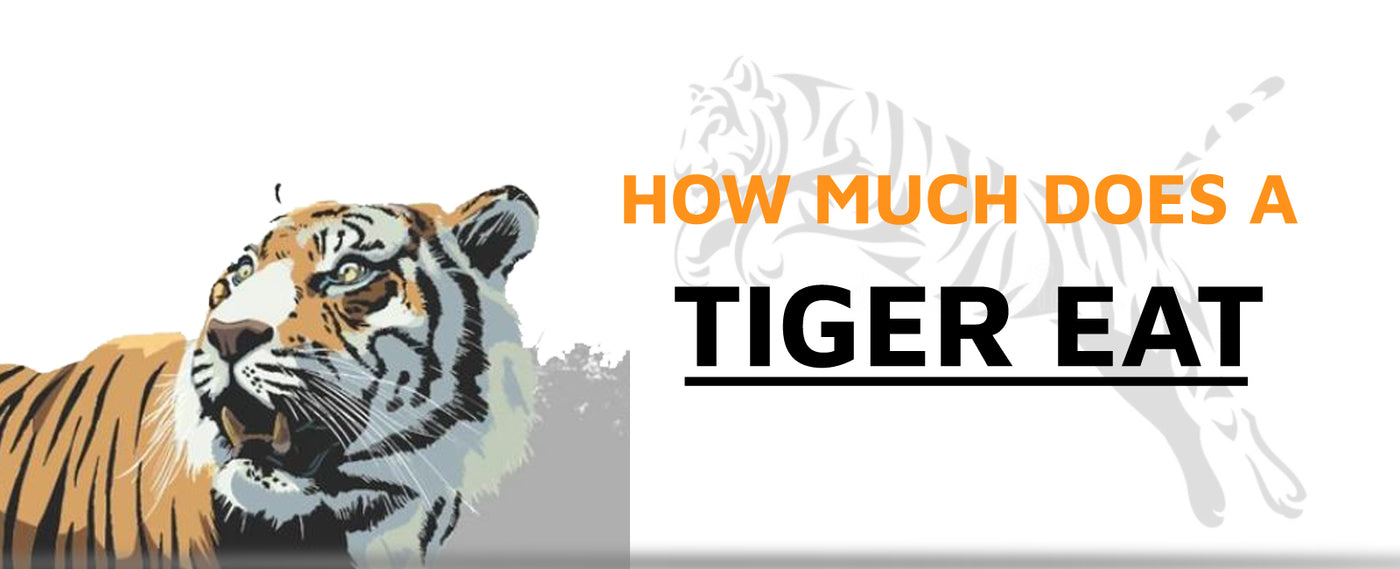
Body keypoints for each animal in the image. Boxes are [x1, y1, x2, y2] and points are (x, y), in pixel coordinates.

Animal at [672, 57, 1305, 527]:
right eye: (683, 132)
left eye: (715, 127)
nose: (681, 177)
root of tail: (1142, 225)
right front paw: (697, 254)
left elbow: (794, 200)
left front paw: (755, 254)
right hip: (1126, 360)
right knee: (1181, 423)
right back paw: (1211, 507)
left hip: (1183, 345)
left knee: (1230, 414)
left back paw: (1287, 495)